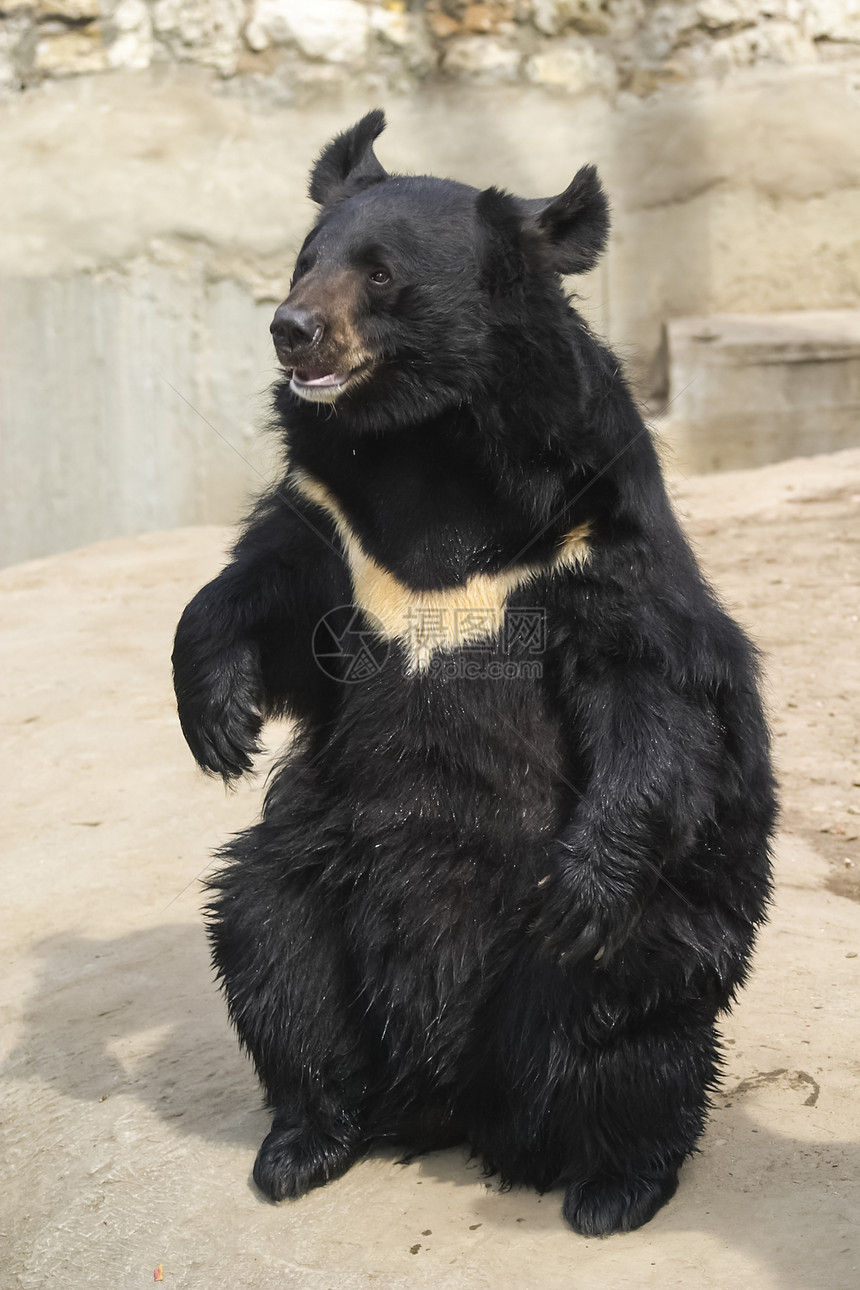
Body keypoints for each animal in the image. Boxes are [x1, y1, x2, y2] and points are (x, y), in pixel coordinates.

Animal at [171, 113, 778, 1238]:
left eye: (378, 274)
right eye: (305, 260)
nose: (291, 331)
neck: (425, 444)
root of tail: (448, 1094)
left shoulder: (589, 536)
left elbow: (652, 693)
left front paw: (587, 876)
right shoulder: (338, 523)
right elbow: (261, 588)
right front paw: (217, 721)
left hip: (598, 962)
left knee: (627, 1018)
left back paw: (611, 1185)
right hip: (318, 878)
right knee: (269, 947)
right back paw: (305, 1142)